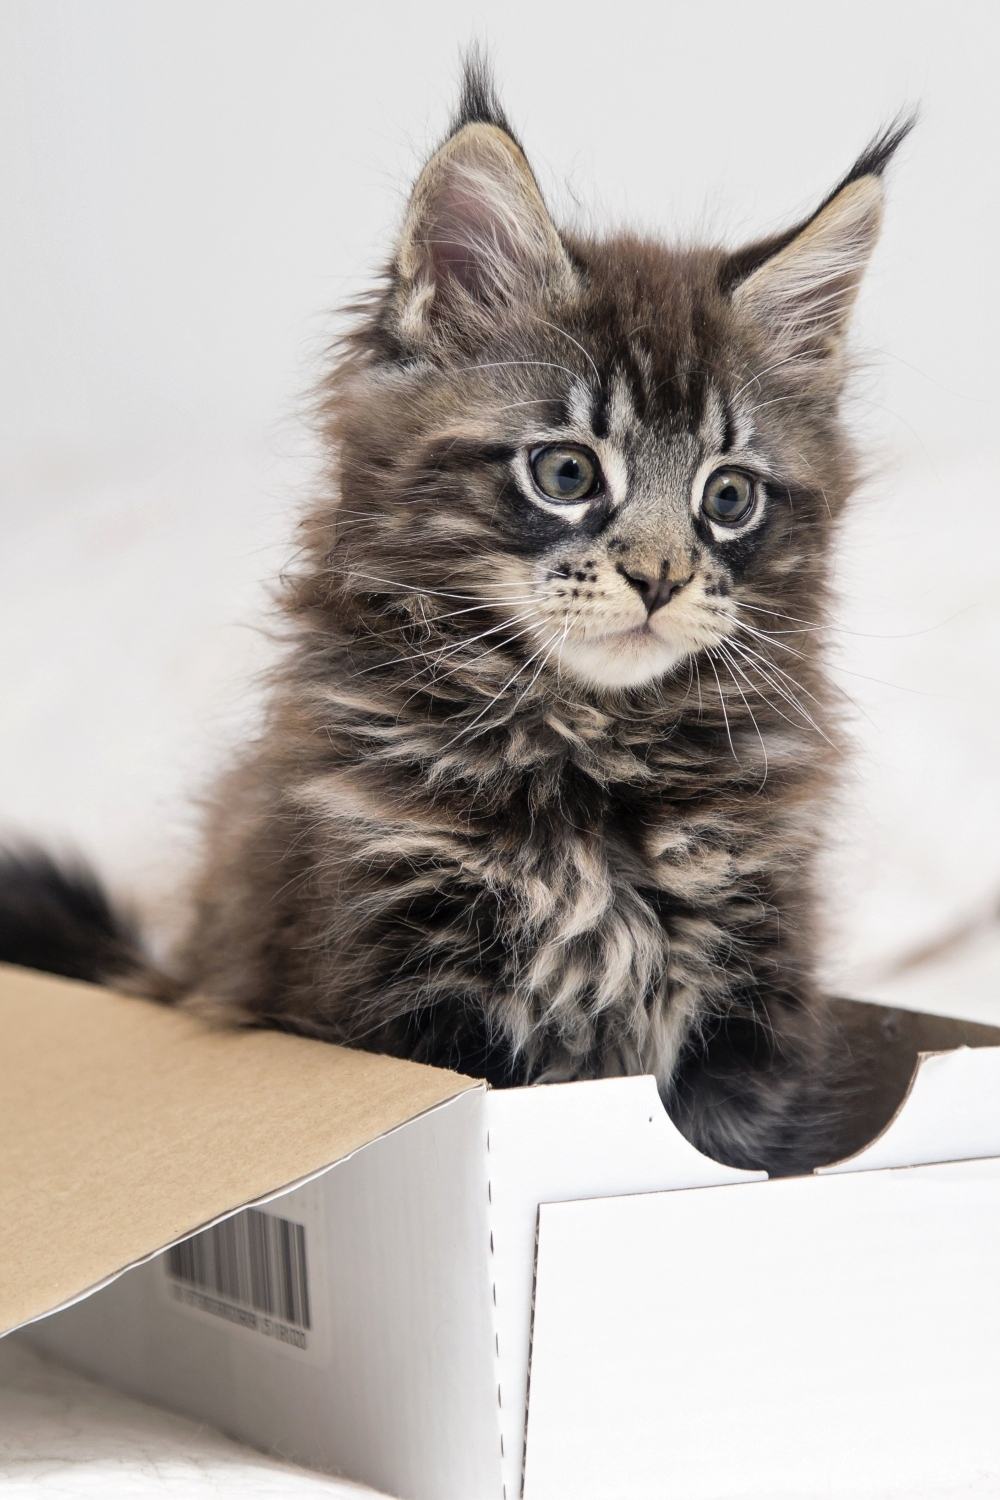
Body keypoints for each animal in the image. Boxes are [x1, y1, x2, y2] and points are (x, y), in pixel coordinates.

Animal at [0, 64, 911, 1176]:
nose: (658, 577)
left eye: (728, 496)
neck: (587, 761)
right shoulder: (389, 979)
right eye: (565, 473)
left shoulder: (751, 993)